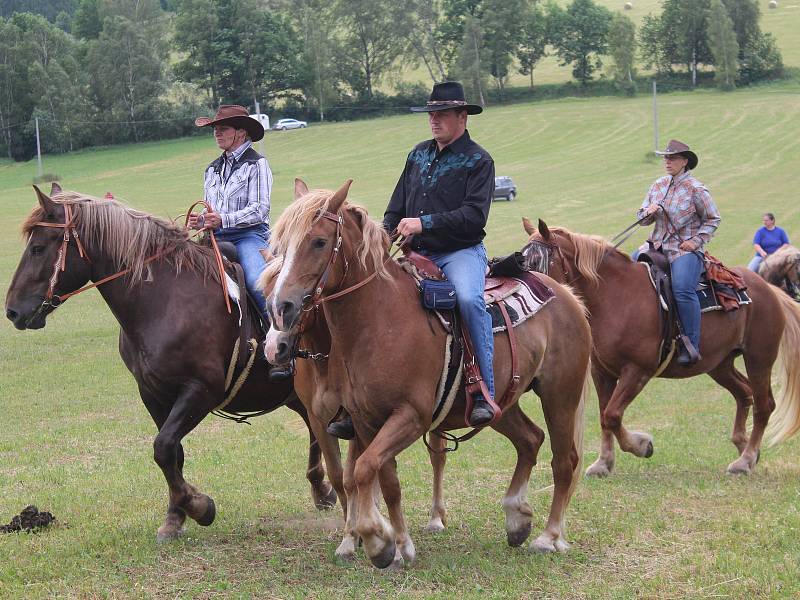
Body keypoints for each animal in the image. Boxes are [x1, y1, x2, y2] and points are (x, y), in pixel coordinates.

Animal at [5, 188, 338, 544]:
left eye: (39, 247)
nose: (12, 311)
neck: (163, 301)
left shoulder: (200, 391)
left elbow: (163, 447)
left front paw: (200, 507)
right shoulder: (153, 393)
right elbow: (172, 453)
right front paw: (176, 516)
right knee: (313, 425)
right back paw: (322, 490)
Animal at [260, 179, 592, 568]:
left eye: (319, 242)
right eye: (281, 245)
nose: (281, 309)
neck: (381, 321)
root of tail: (565, 294)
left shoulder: (410, 416)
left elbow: (364, 470)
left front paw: (377, 539)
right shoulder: (364, 421)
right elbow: (381, 479)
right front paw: (395, 544)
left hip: (560, 394)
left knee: (564, 460)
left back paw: (548, 536)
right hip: (501, 405)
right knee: (530, 440)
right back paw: (516, 518)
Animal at [520, 220, 800, 478]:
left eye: (538, 262)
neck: (615, 298)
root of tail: (767, 289)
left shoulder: (638, 370)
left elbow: (612, 414)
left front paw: (641, 445)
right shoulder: (602, 372)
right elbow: (603, 416)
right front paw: (603, 463)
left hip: (759, 358)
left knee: (764, 405)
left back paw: (746, 459)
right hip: (719, 364)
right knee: (744, 393)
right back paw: (744, 448)